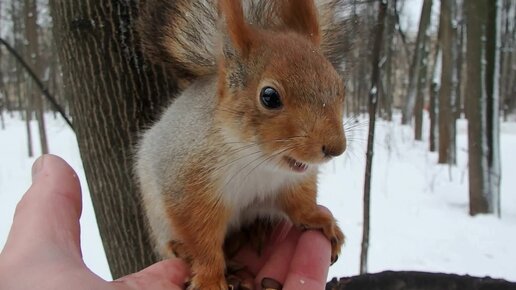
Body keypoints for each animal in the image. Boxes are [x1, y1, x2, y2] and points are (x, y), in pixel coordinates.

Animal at [136, 1, 346, 288]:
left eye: (340, 86)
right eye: (269, 97)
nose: (336, 148)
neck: (256, 161)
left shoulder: (293, 181)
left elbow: (299, 205)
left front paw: (319, 219)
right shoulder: (188, 187)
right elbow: (201, 240)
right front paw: (210, 278)